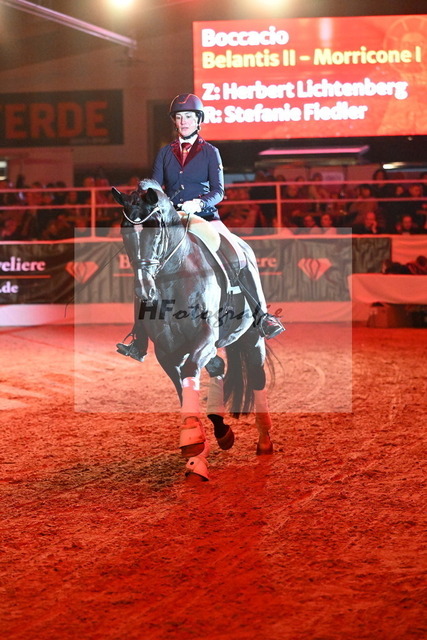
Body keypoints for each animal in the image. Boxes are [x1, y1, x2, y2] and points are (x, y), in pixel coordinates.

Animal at [111, 179, 275, 481]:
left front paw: (193, 443)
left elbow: (189, 373)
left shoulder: (205, 338)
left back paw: (265, 440)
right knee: (218, 367)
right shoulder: (166, 352)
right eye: (125, 231)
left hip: (252, 337)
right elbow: (183, 387)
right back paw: (222, 432)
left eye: (155, 231)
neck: (173, 276)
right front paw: (195, 444)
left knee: (257, 377)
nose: (144, 291)